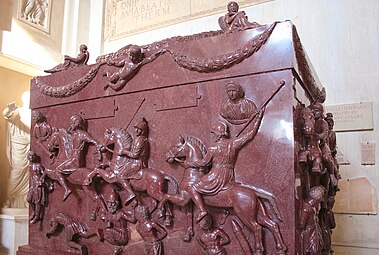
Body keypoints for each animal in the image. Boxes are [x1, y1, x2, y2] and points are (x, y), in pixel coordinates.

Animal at [160, 134, 288, 254]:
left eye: (176, 146)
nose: (167, 156)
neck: (193, 175)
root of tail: (254, 192)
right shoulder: (187, 200)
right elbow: (188, 215)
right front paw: (188, 234)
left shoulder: (183, 198)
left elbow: (165, 197)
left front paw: (163, 215)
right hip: (258, 214)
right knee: (272, 225)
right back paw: (280, 249)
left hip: (244, 214)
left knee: (257, 228)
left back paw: (258, 250)